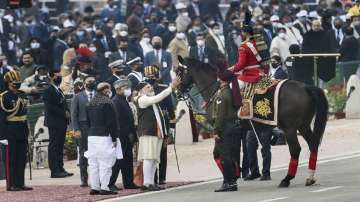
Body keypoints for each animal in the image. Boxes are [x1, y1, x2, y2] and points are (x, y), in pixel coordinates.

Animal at [176, 56, 330, 188]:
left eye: (179, 72)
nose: (177, 92)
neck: (216, 90)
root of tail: (305, 87)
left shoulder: (220, 130)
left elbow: (220, 155)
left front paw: (229, 180)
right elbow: (230, 154)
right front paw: (233, 177)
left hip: (290, 128)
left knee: (295, 150)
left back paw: (286, 179)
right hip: (303, 126)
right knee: (313, 144)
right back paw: (310, 177)